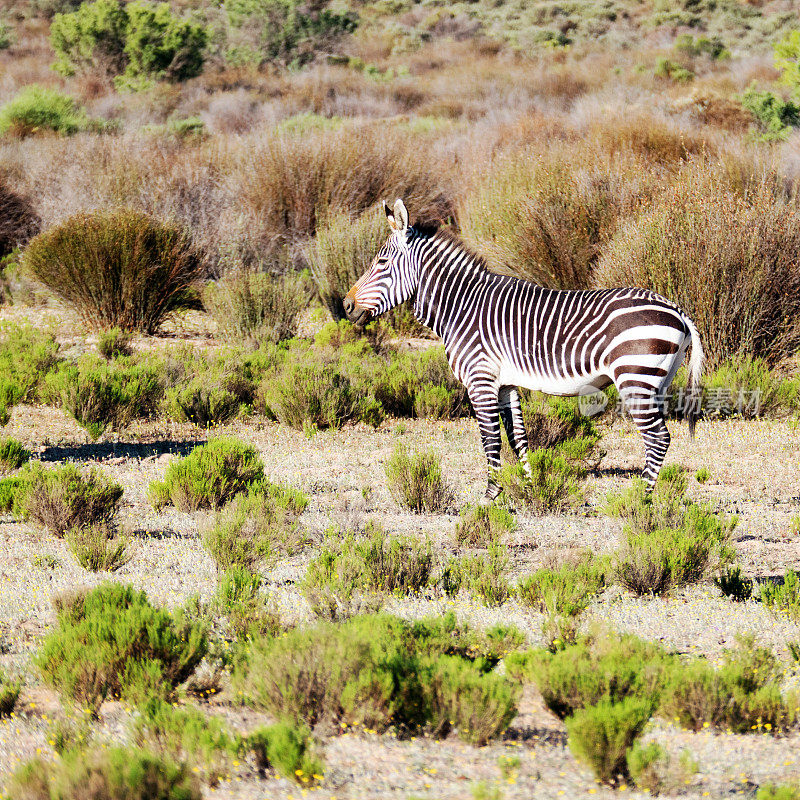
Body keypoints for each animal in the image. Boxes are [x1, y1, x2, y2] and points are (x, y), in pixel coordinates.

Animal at [340, 198, 704, 500]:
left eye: (381, 262)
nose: (345, 305)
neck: (462, 306)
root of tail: (676, 308)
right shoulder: (505, 384)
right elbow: (518, 437)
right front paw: (529, 490)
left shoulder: (480, 380)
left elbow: (490, 438)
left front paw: (490, 496)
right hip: (657, 381)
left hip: (635, 378)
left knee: (658, 438)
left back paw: (640, 501)